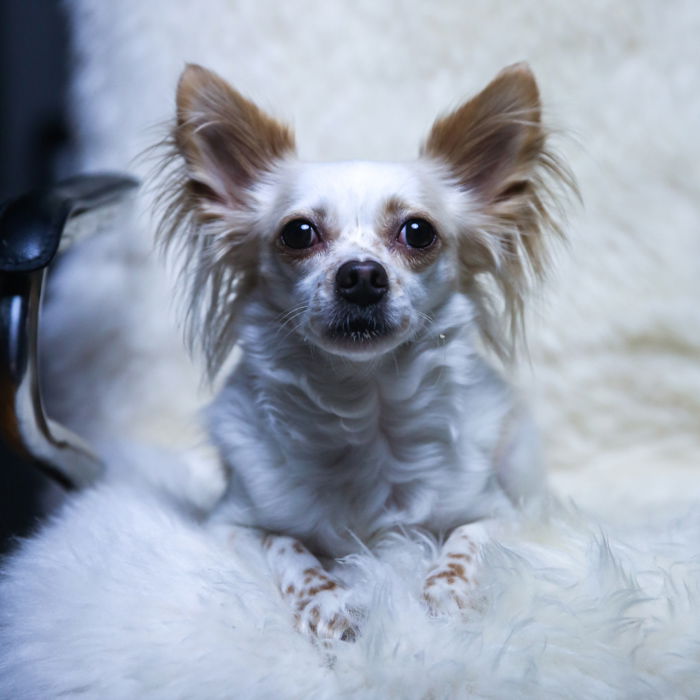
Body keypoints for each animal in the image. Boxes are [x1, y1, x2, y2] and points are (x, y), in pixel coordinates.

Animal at [159, 63, 576, 644]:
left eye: (418, 232)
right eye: (298, 233)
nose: (360, 275)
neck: (366, 408)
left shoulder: (500, 515)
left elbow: (466, 542)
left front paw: (444, 595)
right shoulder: (229, 526)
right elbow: (289, 547)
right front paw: (330, 603)